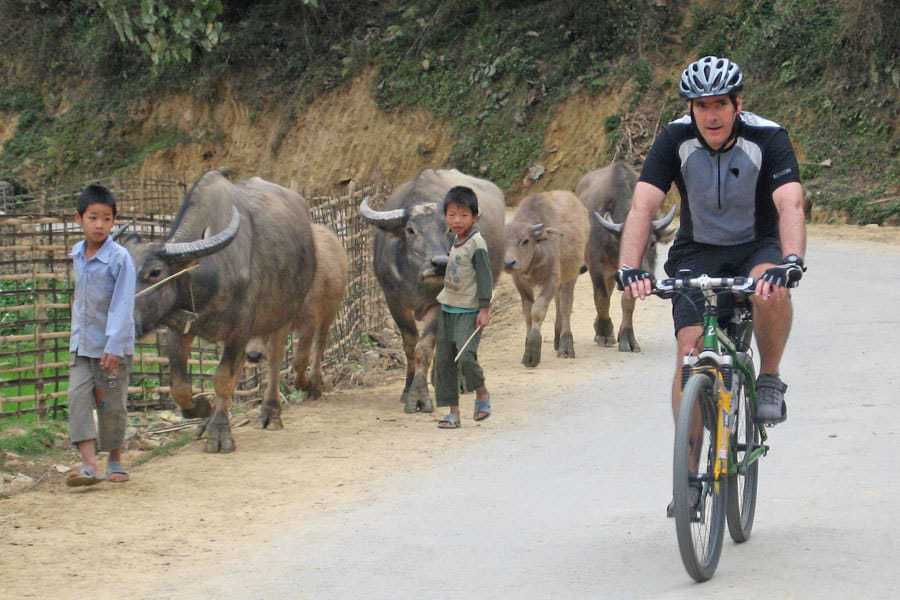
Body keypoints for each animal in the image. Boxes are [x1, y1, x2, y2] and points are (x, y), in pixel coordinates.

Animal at [119, 169, 316, 450]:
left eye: (155, 272)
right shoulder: (180, 328)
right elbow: (180, 385)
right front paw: (203, 409)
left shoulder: (240, 330)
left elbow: (223, 378)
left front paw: (220, 432)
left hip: (284, 314)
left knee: (275, 359)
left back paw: (271, 413)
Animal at [246, 223, 352, 400]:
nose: (253, 356)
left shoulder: (309, 323)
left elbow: (300, 360)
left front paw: (304, 385)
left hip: (330, 313)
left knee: (320, 345)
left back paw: (316, 383)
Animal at [360, 169, 506, 412]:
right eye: (410, 230)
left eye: (448, 228)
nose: (439, 263)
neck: (416, 280)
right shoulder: (394, 301)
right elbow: (410, 344)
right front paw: (407, 390)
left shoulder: (438, 303)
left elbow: (425, 346)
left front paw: (419, 397)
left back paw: (458, 381)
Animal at [506, 190, 592, 368]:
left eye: (525, 240)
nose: (509, 263)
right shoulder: (520, 283)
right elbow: (527, 313)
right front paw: (527, 346)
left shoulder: (551, 280)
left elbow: (537, 311)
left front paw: (532, 351)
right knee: (559, 303)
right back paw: (557, 339)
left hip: (571, 275)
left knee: (566, 306)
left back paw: (566, 345)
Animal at [576, 162, 676, 354]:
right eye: (624, 243)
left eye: (652, 243)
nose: (646, 276)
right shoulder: (596, 265)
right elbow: (601, 298)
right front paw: (605, 333)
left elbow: (627, 301)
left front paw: (626, 338)